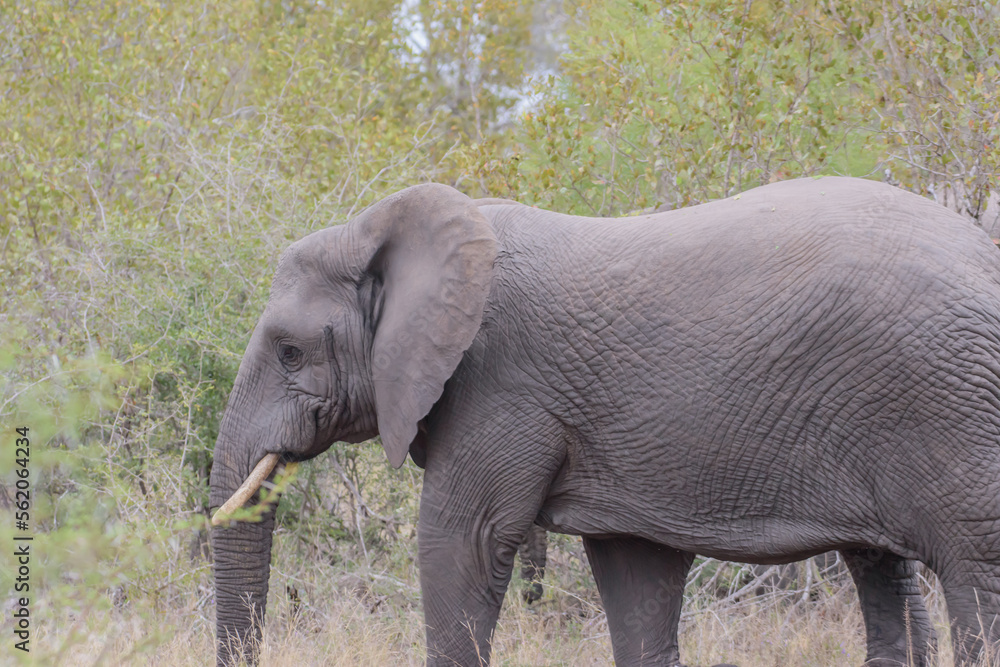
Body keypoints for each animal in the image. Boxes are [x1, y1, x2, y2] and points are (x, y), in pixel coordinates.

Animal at [210, 176, 1000, 667]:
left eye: (290, 351)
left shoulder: (499, 383)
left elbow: (460, 543)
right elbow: (634, 572)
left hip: (957, 406)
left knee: (975, 573)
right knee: (882, 571)